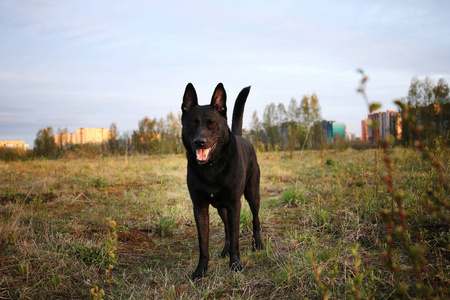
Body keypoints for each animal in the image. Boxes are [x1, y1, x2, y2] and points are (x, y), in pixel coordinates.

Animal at [180, 82, 262, 278]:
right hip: (221, 207)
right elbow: (204, 243)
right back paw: (225, 250)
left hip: (252, 194)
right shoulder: (200, 206)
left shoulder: (234, 204)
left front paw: (236, 265)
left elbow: (236, 237)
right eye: (192, 124)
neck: (211, 167)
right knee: (226, 228)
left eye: (212, 124)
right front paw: (200, 271)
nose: (200, 142)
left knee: (255, 219)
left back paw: (258, 244)